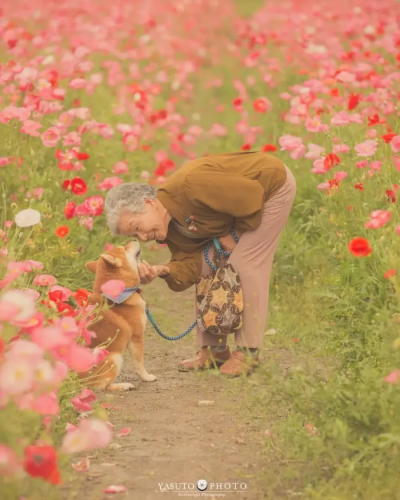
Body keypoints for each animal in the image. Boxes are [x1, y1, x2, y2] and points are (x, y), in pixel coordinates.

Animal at [81, 241, 156, 390]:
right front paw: (146, 377)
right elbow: (140, 364)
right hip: (114, 358)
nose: (134, 239)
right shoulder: (136, 338)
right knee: (105, 386)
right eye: (125, 248)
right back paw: (123, 385)